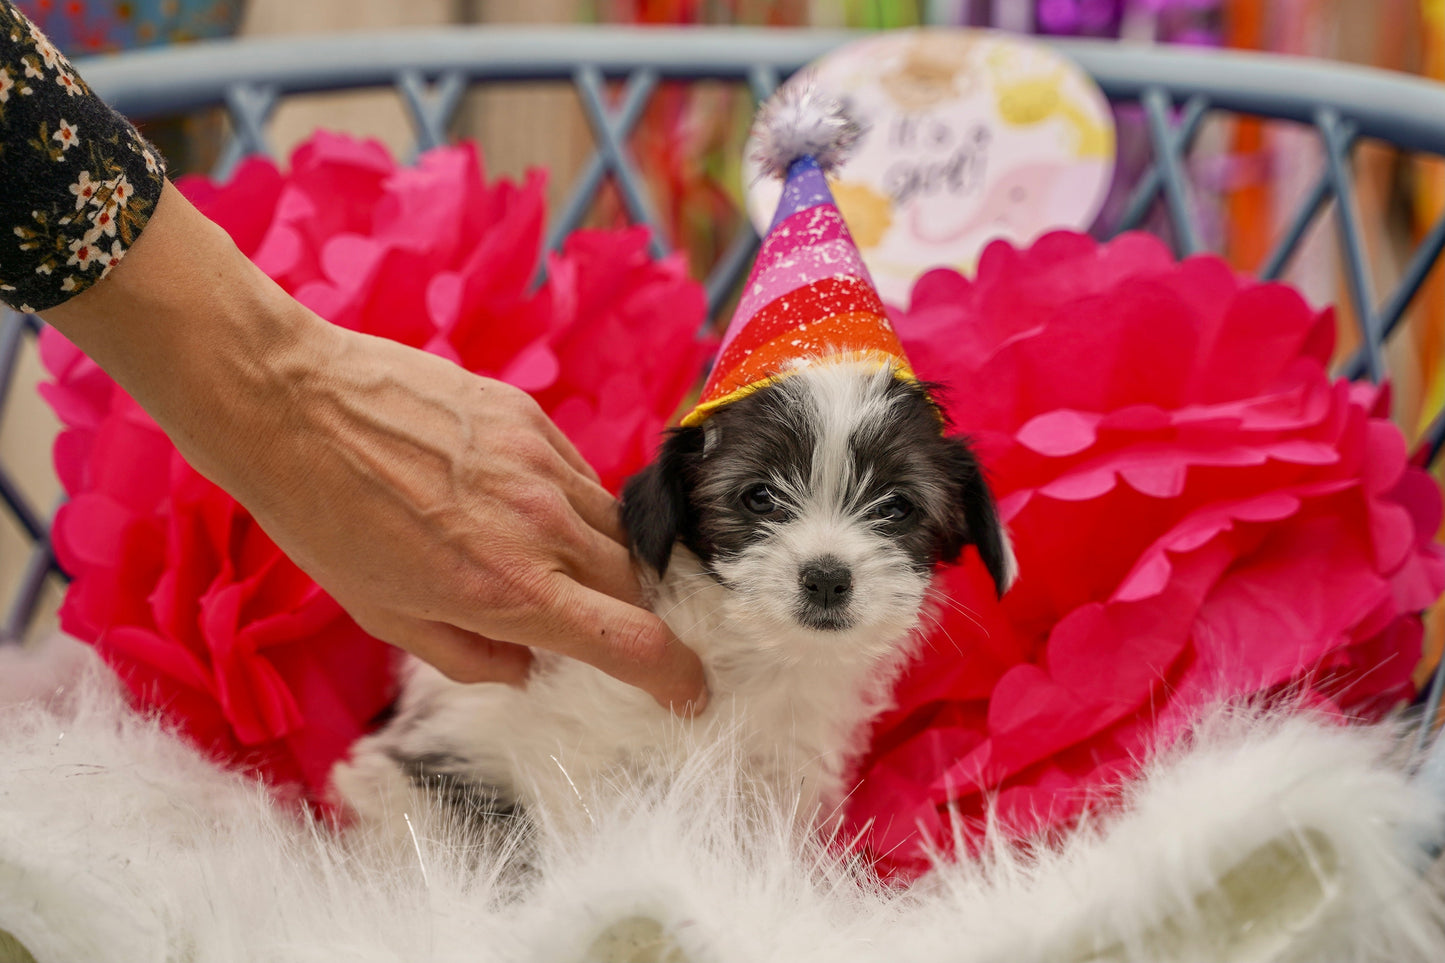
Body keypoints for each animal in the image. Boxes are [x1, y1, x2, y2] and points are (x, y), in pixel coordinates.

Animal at [335, 360, 1017, 832]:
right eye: (759, 497)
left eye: (898, 507)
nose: (826, 577)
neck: (753, 660)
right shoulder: (596, 754)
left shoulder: (779, 772)